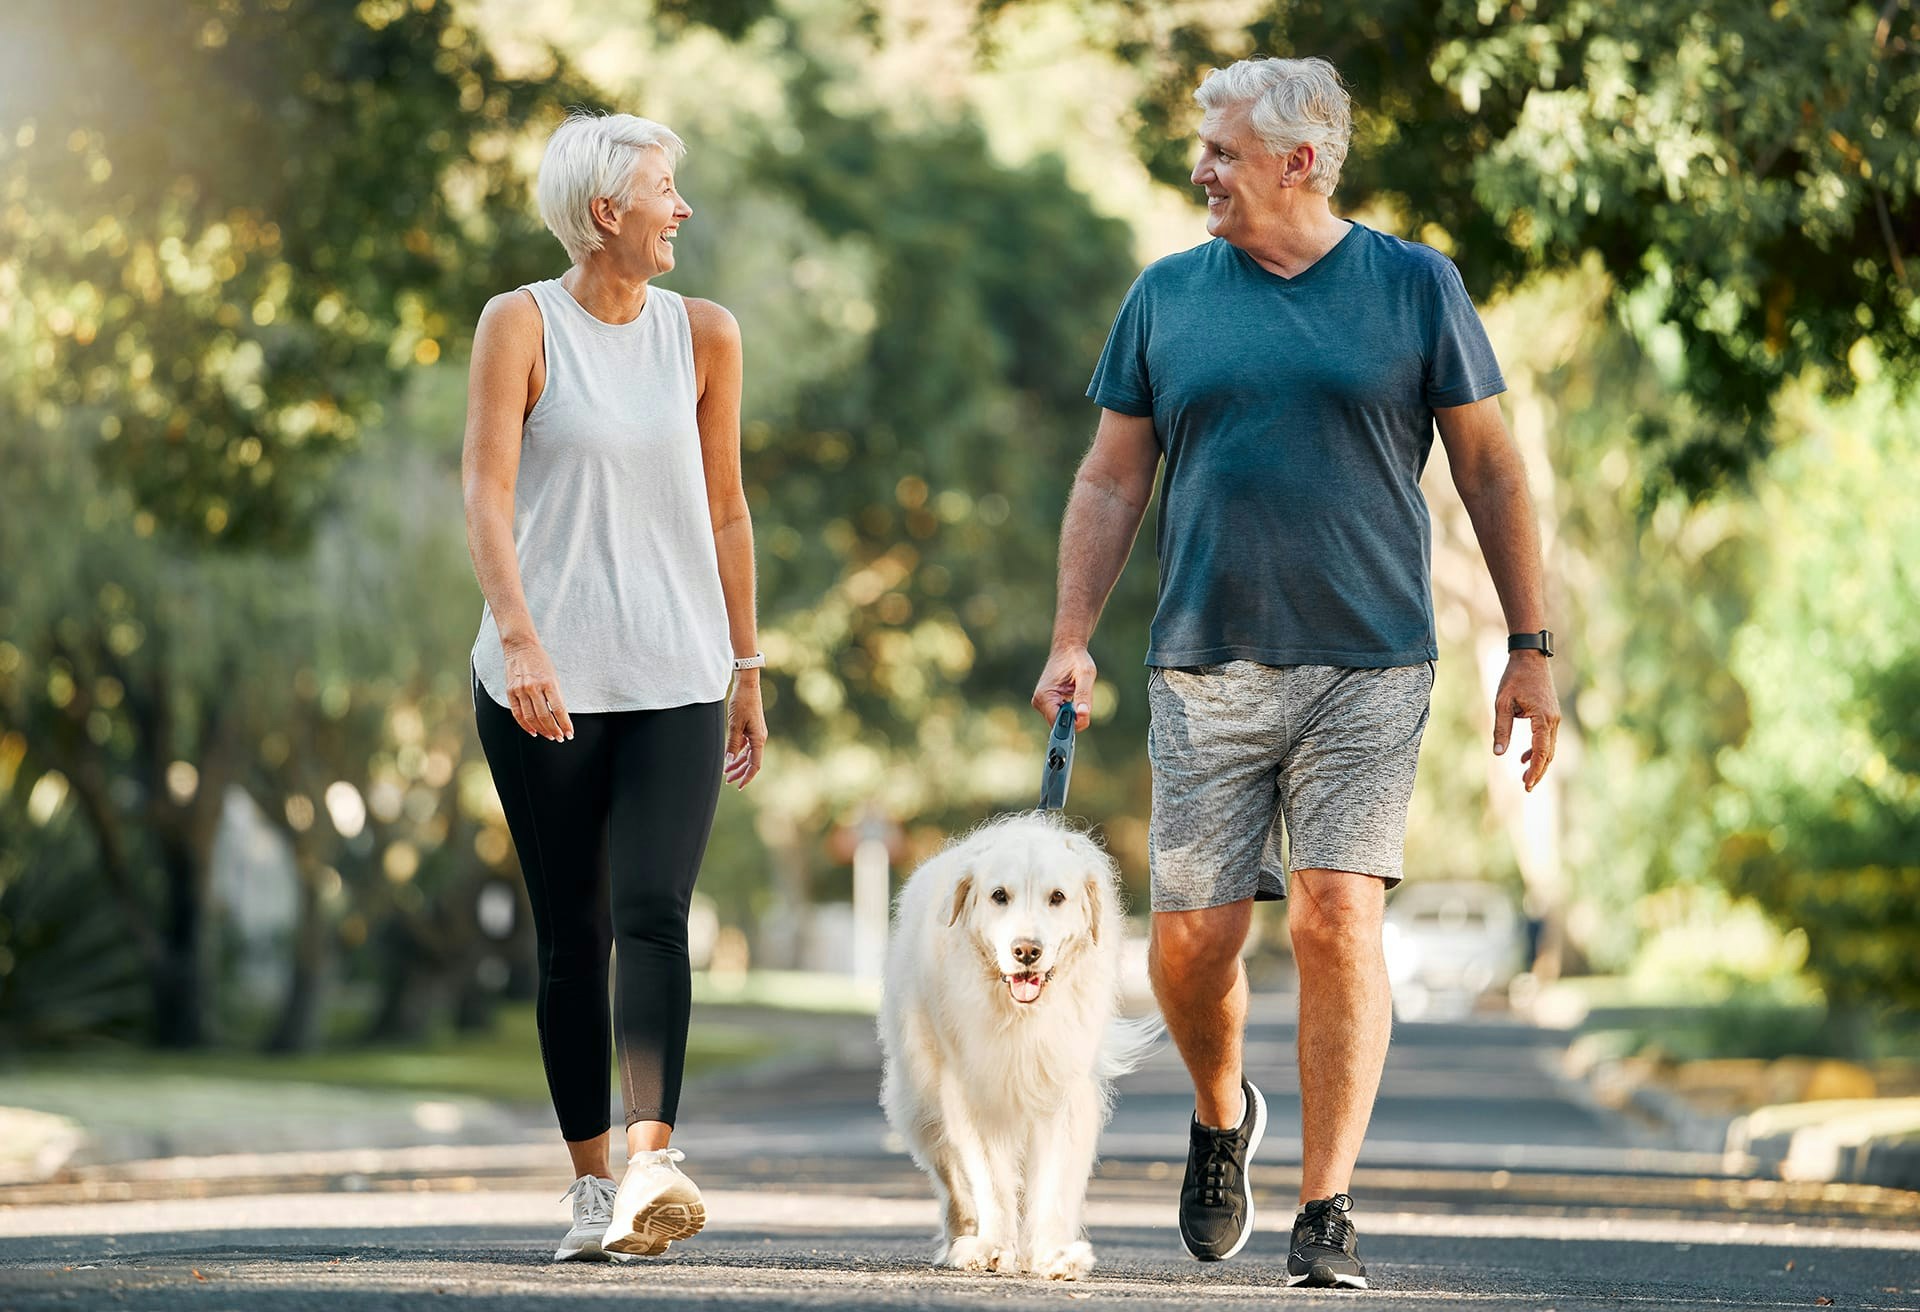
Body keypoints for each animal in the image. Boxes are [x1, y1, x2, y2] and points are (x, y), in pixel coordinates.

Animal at [879, 810, 1152, 1283]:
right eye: (998, 896)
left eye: (1057, 897)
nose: (1026, 950)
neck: (1021, 1016)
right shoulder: (974, 1094)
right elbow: (989, 1179)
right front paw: (992, 1248)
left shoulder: (1064, 1093)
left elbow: (1056, 1182)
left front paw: (1054, 1254)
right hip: (920, 1104)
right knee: (954, 1181)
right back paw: (963, 1238)